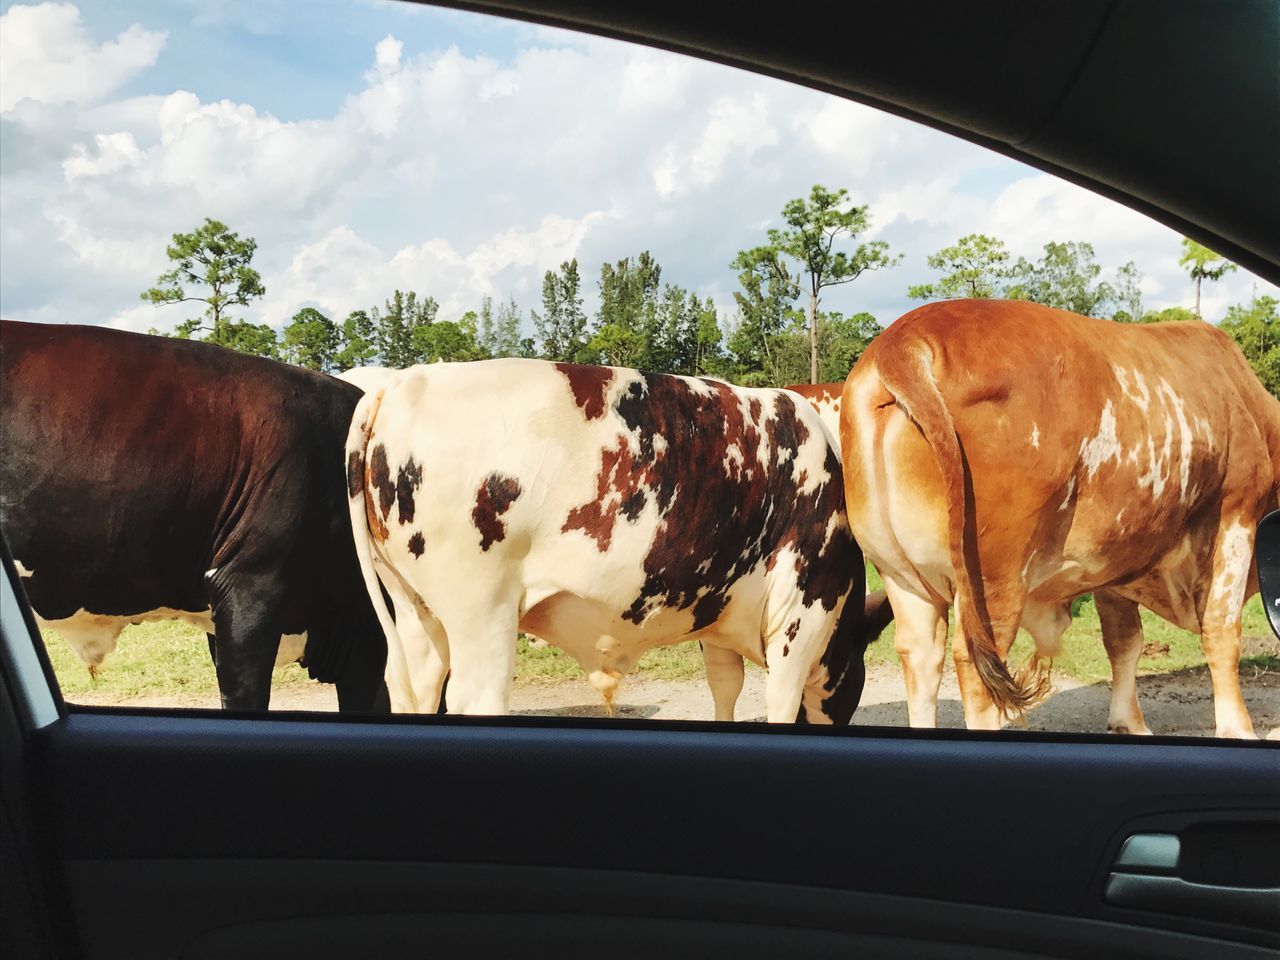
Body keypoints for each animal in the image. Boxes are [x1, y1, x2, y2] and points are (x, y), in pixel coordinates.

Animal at [348, 358, 890, 721]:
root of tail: (399, 382)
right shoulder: (803, 611)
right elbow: (780, 699)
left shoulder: (719, 615)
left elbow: (725, 686)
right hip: (481, 610)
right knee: (474, 699)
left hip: (417, 609)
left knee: (415, 687)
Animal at [839, 299, 1280, 737]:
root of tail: (904, 338)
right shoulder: (1236, 514)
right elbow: (1221, 633)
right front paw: (1238, 729)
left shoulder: (1112, 558)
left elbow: (1124, 642)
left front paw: (1128, 723)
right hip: (994, 580)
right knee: (975, 668)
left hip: (901, 576)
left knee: (921, 656)